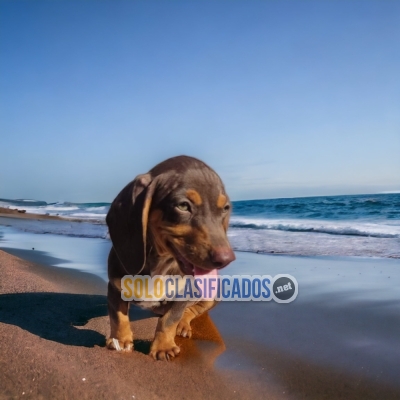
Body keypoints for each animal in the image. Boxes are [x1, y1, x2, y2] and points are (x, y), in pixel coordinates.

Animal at [106, 155, 236, 360]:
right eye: (183, 206)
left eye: (225, 208)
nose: (226, 259)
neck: (159, 265)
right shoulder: (115, 286)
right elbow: (118, 317)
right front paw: (120, 340)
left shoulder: (182, 294)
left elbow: (169, 319)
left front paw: (163, 346)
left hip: (212, 294)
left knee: (192, 310)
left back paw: (183, 324)